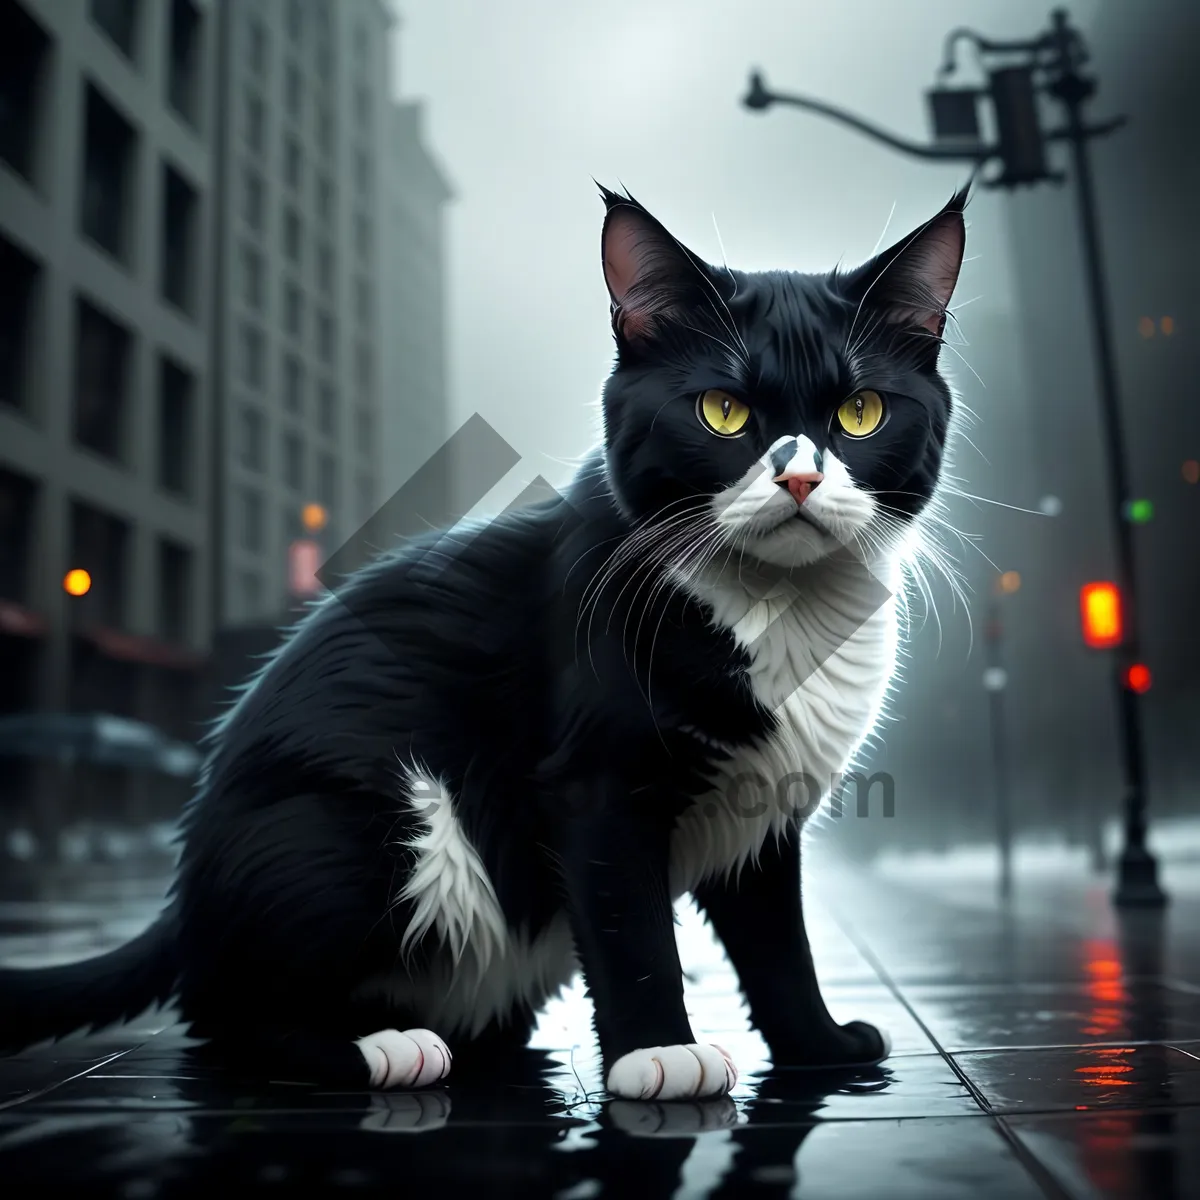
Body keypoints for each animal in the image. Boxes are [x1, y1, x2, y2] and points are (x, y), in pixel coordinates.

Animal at [0, 184, 964, 1099]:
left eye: (861, 411)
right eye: (723, 411)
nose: (800, 477)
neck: (778, 611)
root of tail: (184, 888)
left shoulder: (765, 811)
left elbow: (778, 944)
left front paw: (819, 1049)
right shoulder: (594, 781)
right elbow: (631, 925)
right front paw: (660, 1054)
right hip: (361, 822)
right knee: (224, 1017)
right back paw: (385, 1049)